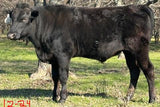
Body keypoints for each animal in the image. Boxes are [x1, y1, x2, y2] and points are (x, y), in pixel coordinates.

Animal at [6, 1, 156, 103]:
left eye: (24, 19)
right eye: (12, 18)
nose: (10, 35)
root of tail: (137, 6)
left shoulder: (63, 55)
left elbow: (63, 76)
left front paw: (62, 98)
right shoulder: (53, 57)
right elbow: (55, 77)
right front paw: (54, 97)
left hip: (139, 49)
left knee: (148, 69)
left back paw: (152, 99)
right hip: (128, 52)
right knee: (134, 71)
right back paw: (127, 97)